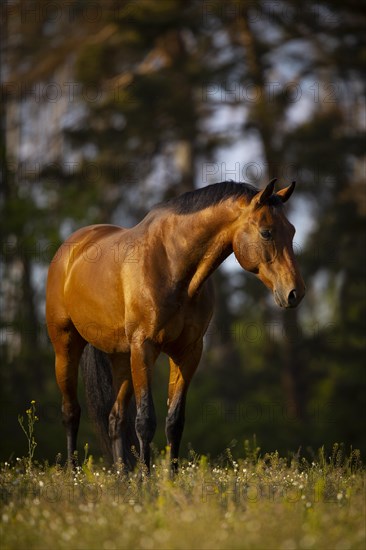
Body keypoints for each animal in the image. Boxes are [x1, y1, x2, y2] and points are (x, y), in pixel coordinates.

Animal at [46, 181, 306, 474]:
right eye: (266, 232)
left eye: (292, 230)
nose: (295, 292)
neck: (171, 265)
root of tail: (70, 249)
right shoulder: (145, 348)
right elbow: (145, 421)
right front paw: (145, 479)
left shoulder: (187, 352)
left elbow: (174, 422)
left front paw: (169, 478)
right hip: (66, 347)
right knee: (71, 412)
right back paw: (73, 473)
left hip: (123, 358)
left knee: (115, 418)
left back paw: (122, 477)